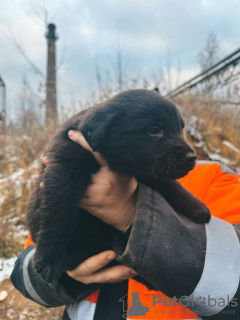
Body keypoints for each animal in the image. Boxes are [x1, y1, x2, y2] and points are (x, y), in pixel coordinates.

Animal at [26, 89, 210, 284]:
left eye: (180, 129)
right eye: (154, 130)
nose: (192, 157)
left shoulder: (146, 169)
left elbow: (169, 184)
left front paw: (197, 207)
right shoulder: (66, 166)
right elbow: (60, 211)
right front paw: (49, 258)